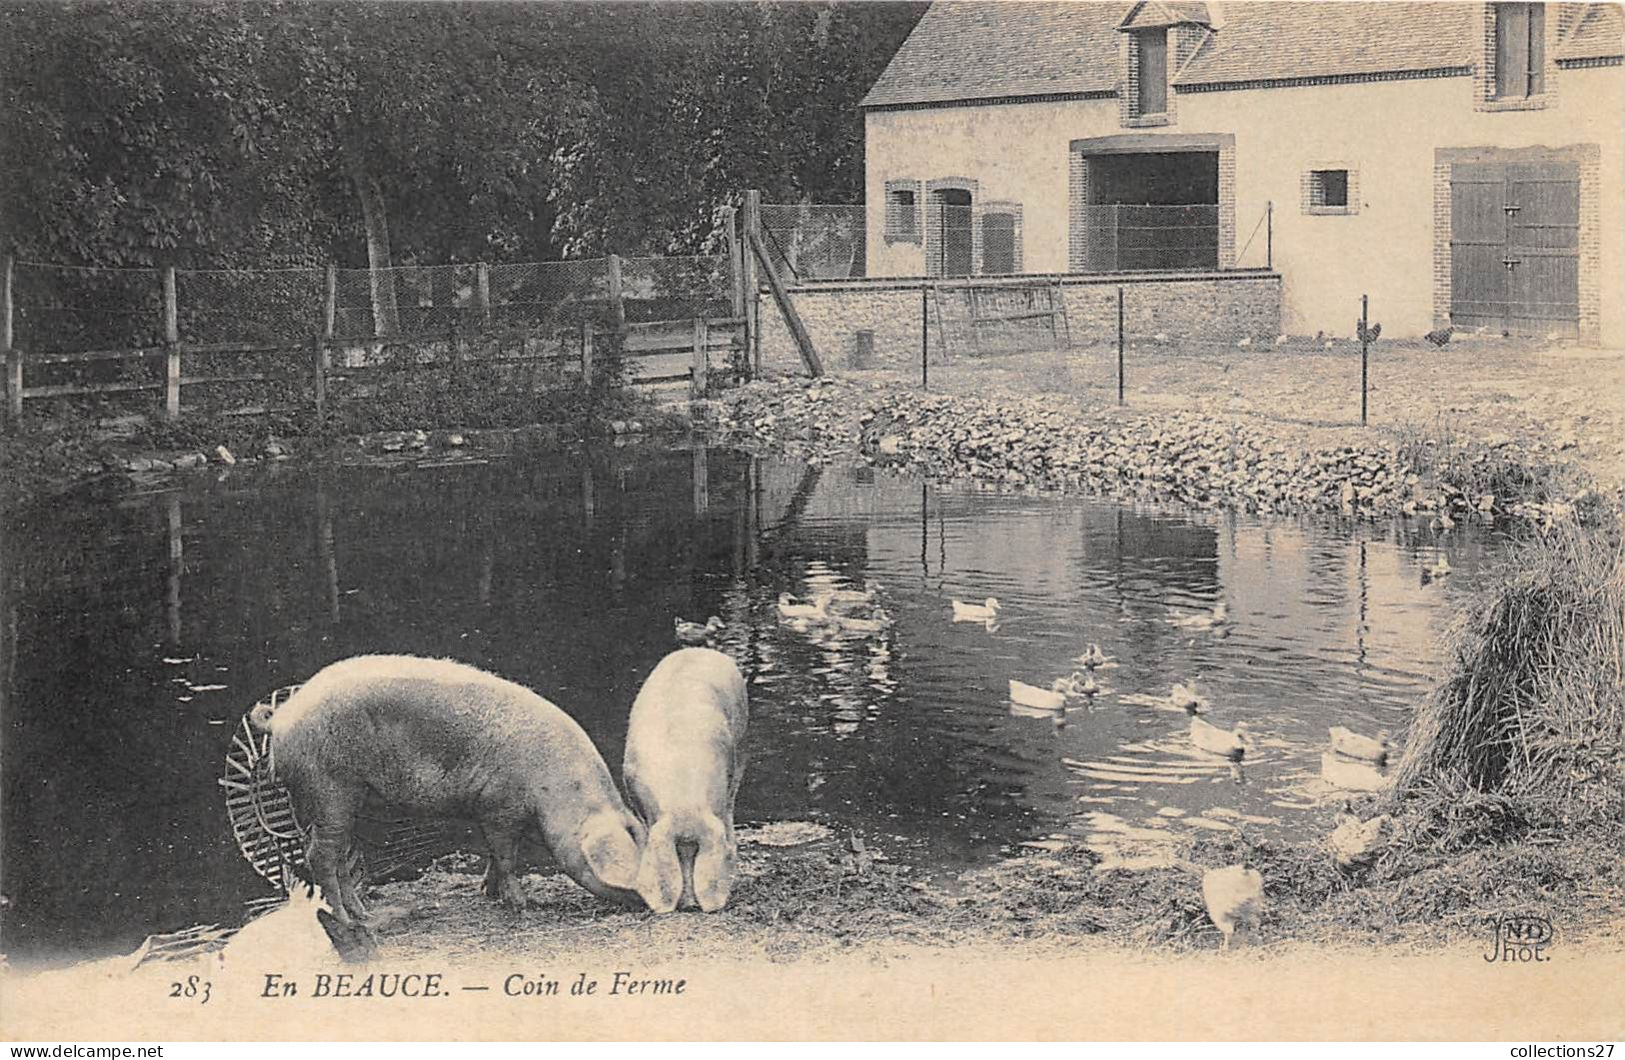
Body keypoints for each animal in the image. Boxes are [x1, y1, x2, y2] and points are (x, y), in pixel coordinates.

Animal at [256, 653, 643, 929]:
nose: (654, 904)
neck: (554, 790)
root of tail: (282, 716)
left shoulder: (490, 810)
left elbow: (494, 855)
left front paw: (488, 893)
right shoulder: (500, 805)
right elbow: (507, 857)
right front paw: (521, 905)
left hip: (339, 799)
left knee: (336, 856)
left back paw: (363, 914)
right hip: (329, 787)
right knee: (319, 857)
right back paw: (349, 920)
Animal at [620, 647, 747, 910]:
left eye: (697, 850)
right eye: (677, 852)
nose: (690, 905)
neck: (683, 799)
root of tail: (700, 650)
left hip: (742, 742)